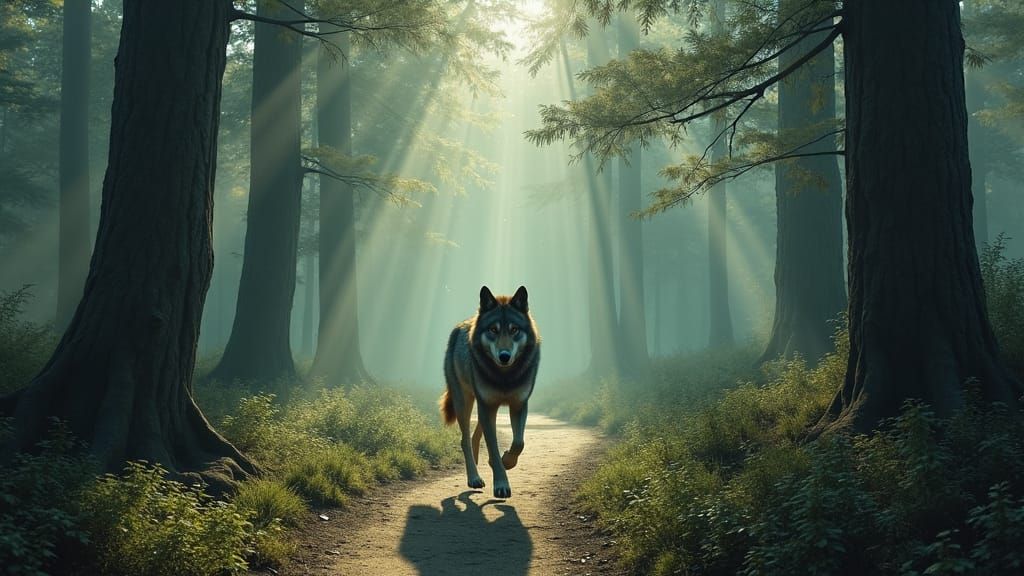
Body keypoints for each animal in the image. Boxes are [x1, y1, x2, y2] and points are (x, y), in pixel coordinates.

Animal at [440, 285, 540, 498]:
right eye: (493, 329)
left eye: (514, 329)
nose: (504, 356)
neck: (504, 377)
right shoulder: (486, 405)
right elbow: (493, 447)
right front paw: (501, 484)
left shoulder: (519, 404)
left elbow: (519, 442)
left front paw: (507, 461)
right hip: (466, 403)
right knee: (464, 440)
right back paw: (474, 478)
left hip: (487, 407)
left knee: (475, 435)